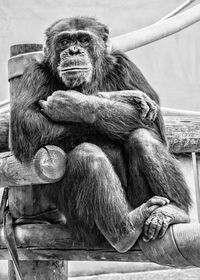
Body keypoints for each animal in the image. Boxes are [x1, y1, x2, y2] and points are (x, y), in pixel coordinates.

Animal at [10, 15, 191, 252]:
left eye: (84, 40)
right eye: (64, 41)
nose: (74, 51)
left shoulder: (126, 64)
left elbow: (155, 126)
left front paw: (75, 104)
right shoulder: (34, 73)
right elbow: (26, 123)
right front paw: (127, 97)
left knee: (143, 137)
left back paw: (174, 210)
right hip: (85, 229)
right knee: (87, 155)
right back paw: (125, 229)